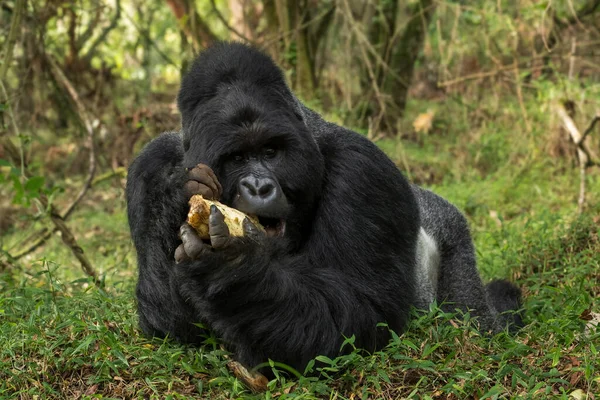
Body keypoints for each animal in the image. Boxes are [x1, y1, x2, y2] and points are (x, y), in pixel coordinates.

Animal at [125, 42, 520, 374]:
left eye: (271, 151)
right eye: (237, 158)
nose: (259, 186)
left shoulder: (363, 168)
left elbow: (361, 316)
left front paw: (231, 267)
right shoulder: (148, 164)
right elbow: (169, 323)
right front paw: (176, 196)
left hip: (455, 241)